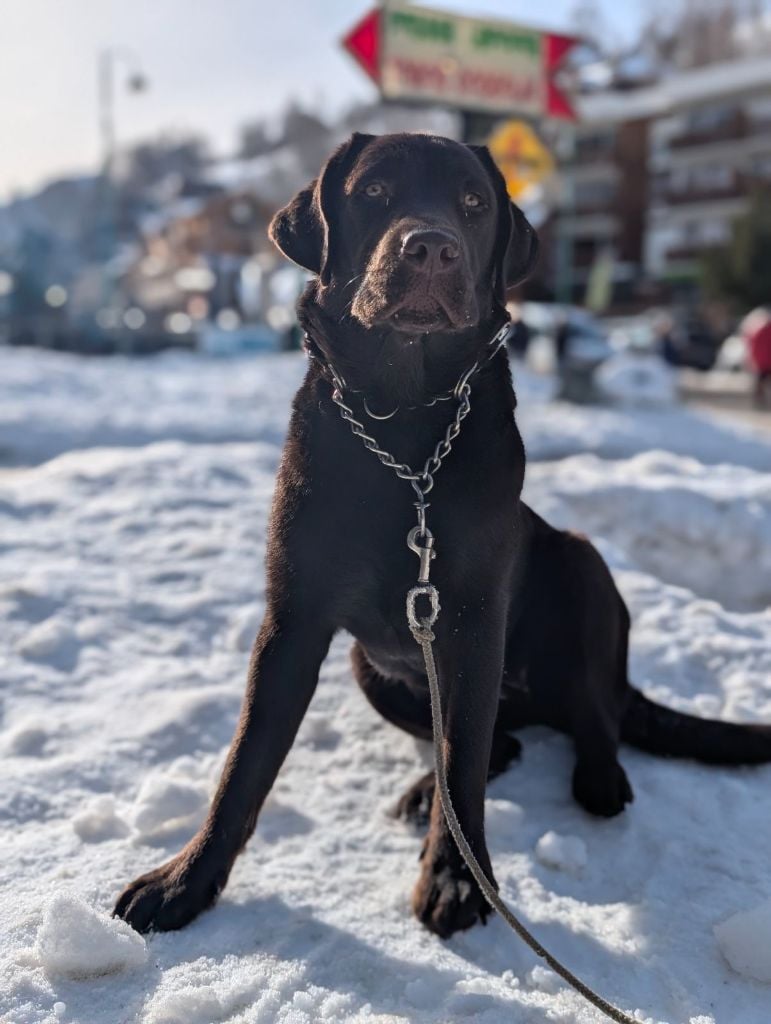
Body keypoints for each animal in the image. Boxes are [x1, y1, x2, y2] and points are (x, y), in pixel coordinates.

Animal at [114, 132, 769, 937]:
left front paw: (458, 879)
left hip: (582, 568)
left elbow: (464, 764)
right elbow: (245, 764)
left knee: (590, 714)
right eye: (373, 192)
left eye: (473, 203)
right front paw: (184, 882)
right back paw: (429, 786)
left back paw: (597, 776)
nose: (430, 247)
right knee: (500, 741)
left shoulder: (470, 618)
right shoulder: (291, 621)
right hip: (370, 667)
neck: (403, 421)